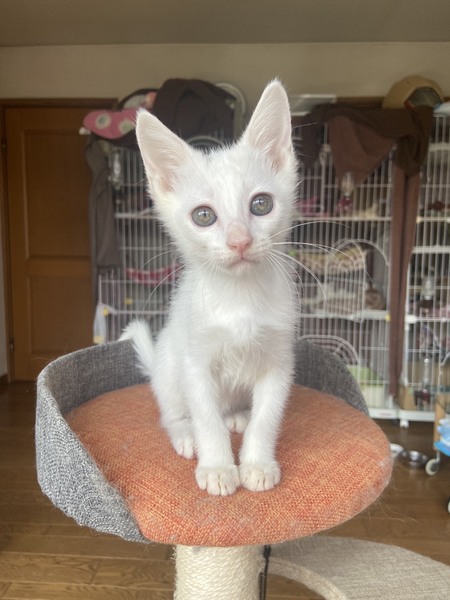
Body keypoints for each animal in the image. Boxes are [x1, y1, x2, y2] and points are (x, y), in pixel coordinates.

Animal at [122, 80, 299, 496]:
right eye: (203, 216)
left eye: (261, 204)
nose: (239, 241)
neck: (239, 297)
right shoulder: (195, 361)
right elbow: (206, 417)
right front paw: (217, 466)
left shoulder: (279, 360)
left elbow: (268, 416)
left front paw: (256, 462)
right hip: (170, 362)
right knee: (172, 411)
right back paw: (184, 432)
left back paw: (237, 416)